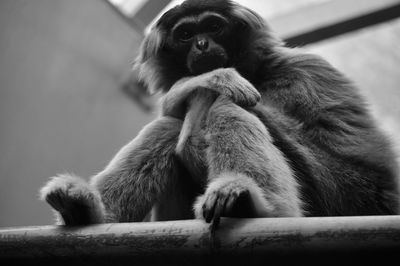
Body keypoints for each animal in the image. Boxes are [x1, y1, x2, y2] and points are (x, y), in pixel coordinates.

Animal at [41, 0, 400, 227]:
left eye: (214, 26)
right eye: (186, 34)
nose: (201, 44)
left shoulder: (308, 71)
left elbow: (373, 181)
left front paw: (212, 85)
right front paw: (207, 81)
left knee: (226, 106)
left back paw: (251, 205)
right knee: (168, 125)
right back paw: (84, 209)